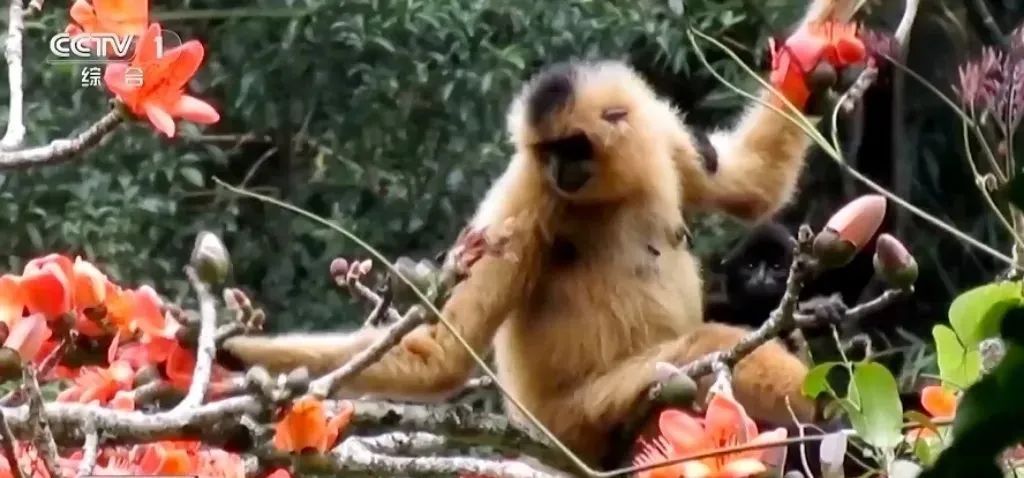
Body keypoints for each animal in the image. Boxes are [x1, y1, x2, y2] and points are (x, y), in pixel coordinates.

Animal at [223, 0, 860, 467]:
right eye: (549, 151)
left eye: (572, 147)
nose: (560, 170)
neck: (613, 190)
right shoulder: (523, 200)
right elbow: (445, 357)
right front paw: (230, 355)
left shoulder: (660, 140)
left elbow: (755, 185)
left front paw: (822, 39)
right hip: (575, 418)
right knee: (699, 352)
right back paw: (827, 412)